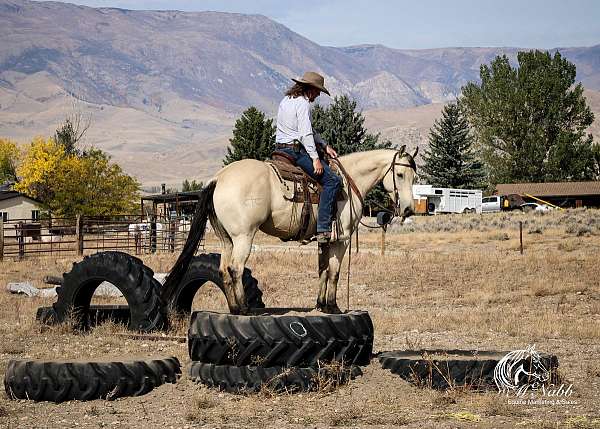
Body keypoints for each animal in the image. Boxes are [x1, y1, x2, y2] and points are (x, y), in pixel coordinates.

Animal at [162, 145, 420, 312]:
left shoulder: (324, 240)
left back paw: (234, 307)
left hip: (227, 238)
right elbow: (334, 272)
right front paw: (333, 306)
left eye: (414, 177)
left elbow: (323, 270)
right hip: (244, 236)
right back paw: (244, 309)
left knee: (224, 269)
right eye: (399, 174)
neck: (348, 183)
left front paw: (320, 305)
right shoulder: (342, 239)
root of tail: (219, 178)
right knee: (235, 268)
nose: (408, 209)